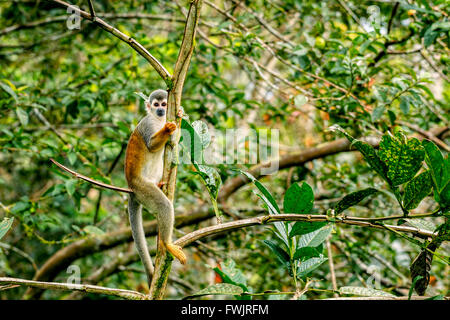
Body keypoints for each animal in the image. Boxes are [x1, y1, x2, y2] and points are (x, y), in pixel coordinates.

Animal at [124, 88, 185, 284]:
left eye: (164, 104)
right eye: (156, 104)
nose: (160, 110)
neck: (158, 120)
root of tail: (131, 188)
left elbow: (174, 142)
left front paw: (180, 114)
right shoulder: (148, 124)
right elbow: (151, 145)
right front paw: (167, 129)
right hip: (142, 188)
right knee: (163, 205)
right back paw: (166, 243)